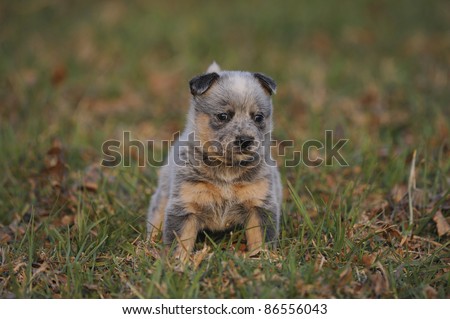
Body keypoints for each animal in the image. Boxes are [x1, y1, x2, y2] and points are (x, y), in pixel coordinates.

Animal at [147, 62, 282, 262]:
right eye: (223, 116)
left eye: (258, 117)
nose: (245, 140)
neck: (227, 169)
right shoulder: (185, 204)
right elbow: (180, 242)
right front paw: (177, 263)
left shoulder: (259, 204)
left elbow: (260, 239)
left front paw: (262, 260)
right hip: (163, 195)